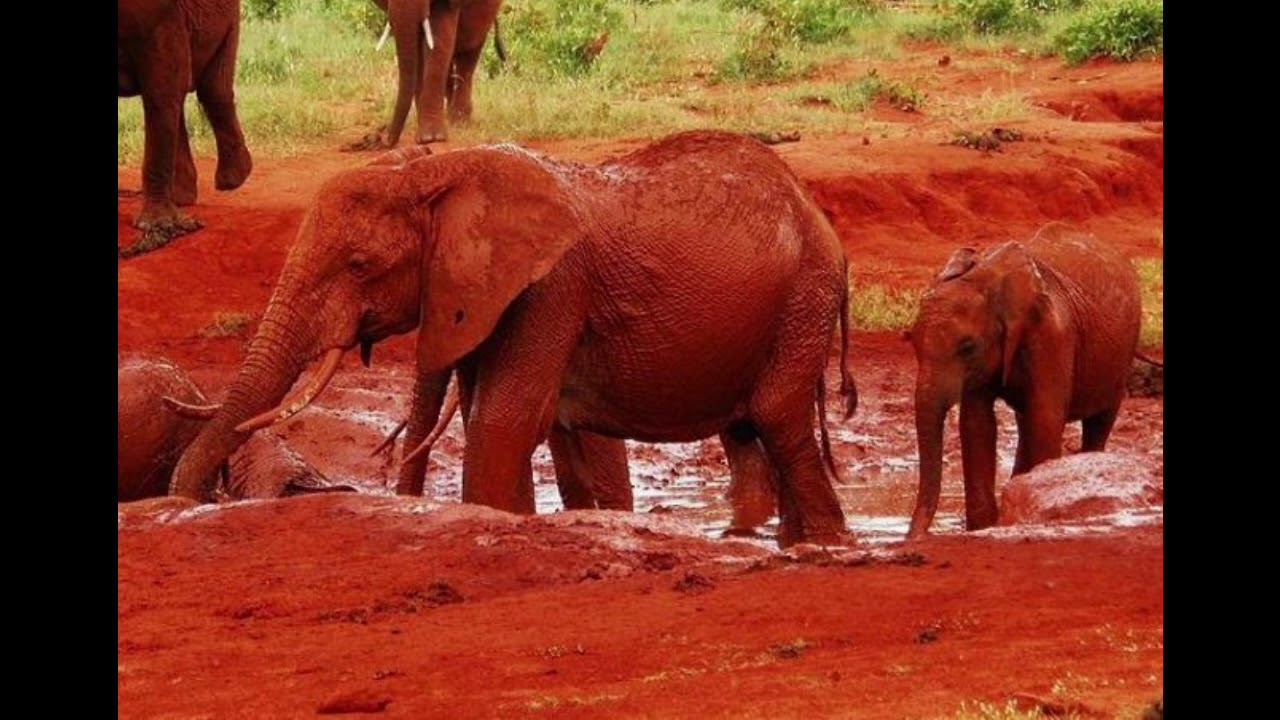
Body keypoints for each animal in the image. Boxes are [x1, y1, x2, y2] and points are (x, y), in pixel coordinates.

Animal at [118, 0, 253, 251]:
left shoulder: (162, 16)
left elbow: (162, 89)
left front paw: (155, 226)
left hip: (230, 21)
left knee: (212, 89)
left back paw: (231, 180)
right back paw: (181, 199)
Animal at [167, 130, 857, 548]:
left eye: (360, 265)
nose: (190, 502)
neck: (438, 170)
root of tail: (813, 208)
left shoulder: (552, 286)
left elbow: (504, 419)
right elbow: (511, 418)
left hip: (805, 295)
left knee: (776, 416)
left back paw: (827, 545)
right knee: (749, 428)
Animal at [364, 0, 505, 147]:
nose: (384, 139)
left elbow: (439, 38)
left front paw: (432, 139)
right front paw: (426, 136)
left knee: (469, 52)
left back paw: (459, 122)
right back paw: (449, 118)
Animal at [905, 222, 1142, 538]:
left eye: (967, 347)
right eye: (911, 342)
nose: (912, 538)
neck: (987, 275)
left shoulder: (1053, 334)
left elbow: (1045, 419)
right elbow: (977, 425)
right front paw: (983, 528)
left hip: (1121, 357)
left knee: (1098, 422)